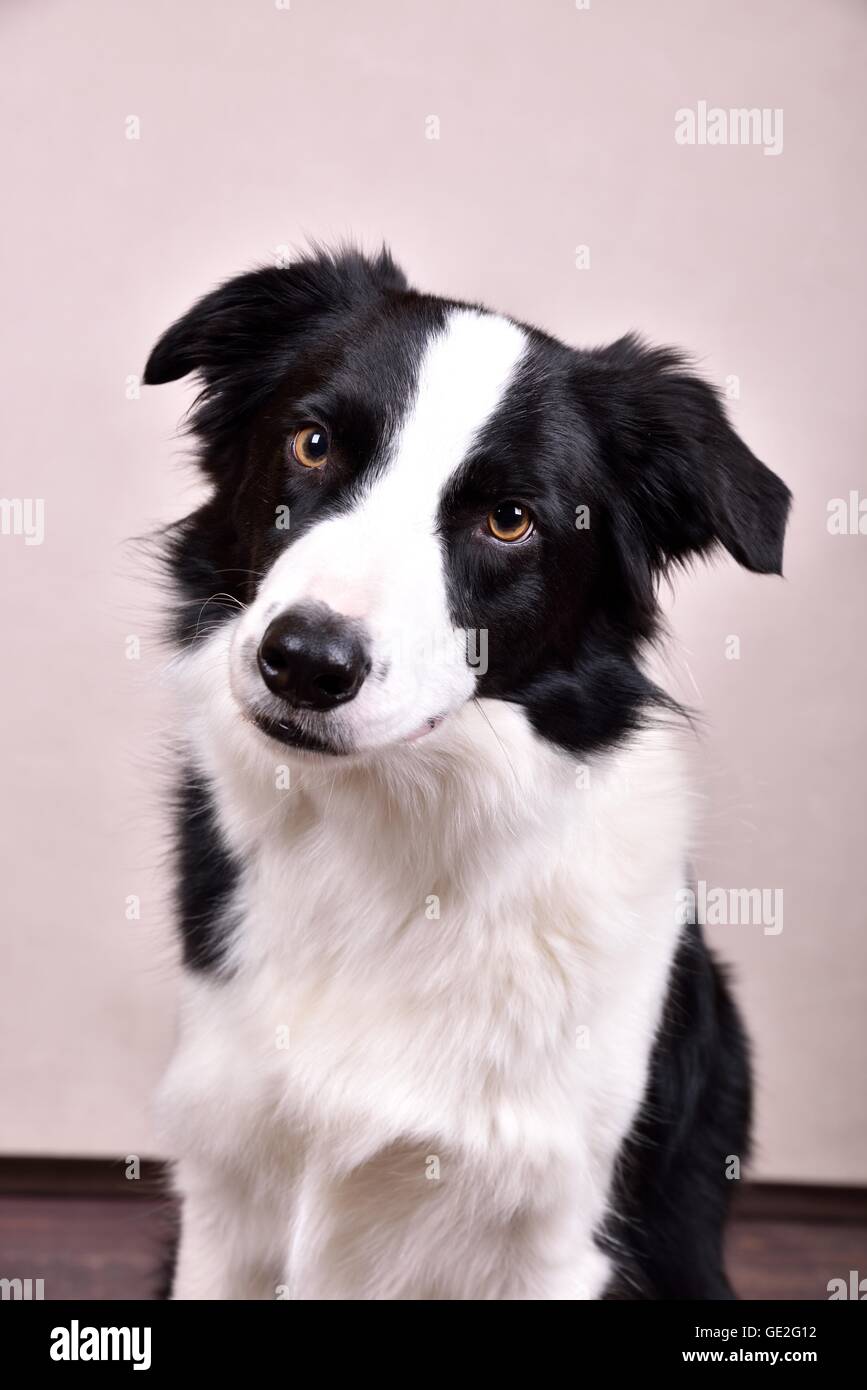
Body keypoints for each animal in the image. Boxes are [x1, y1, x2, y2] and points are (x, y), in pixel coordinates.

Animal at [145, 244, 789, 1295]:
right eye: (313, 444)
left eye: (510, 520)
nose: (305, 661)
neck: (385, 845)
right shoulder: (224, 1196)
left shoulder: (557, 1235)